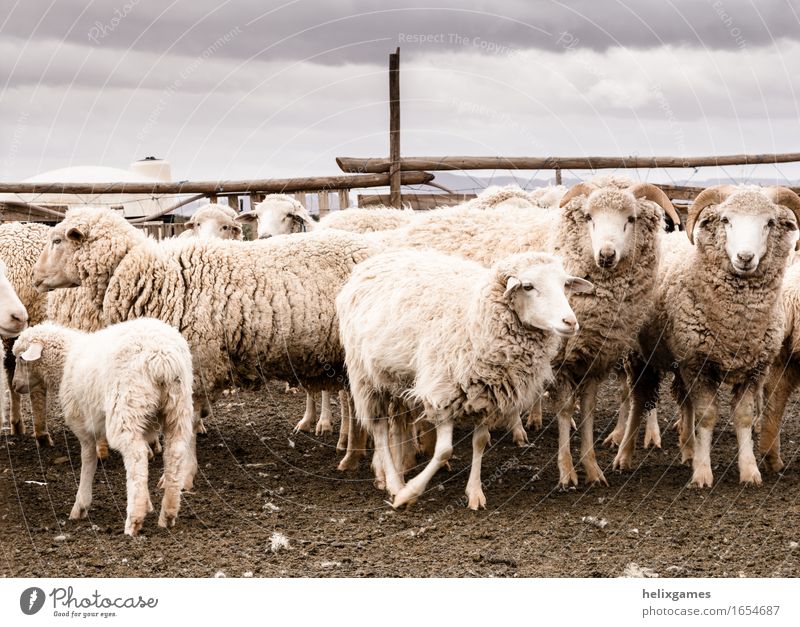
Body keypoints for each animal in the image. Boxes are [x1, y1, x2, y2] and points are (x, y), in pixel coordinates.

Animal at [12, 322, 195, 536]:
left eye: (21, 358)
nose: (15, 385)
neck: (65, 361)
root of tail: (162, 358)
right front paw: (148, 503)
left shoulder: (83, 425)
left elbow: (88, 461)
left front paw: (80, 505)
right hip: (178, 408)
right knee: (174, 454)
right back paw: (168, 513)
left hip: (126, 406)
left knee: (136, 455)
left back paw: (134, 519)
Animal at [338, 248, 592, 508]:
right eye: (528, 287)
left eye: (564, 284)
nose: (570, 322)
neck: (477, 315)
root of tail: (377, 259)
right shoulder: (442, 392)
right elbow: (444, 451)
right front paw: (409, 493)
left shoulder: (489, 395)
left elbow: (479, 442)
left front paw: (475, 492)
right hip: (366, 376)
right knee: (379, 429)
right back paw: (393, 482)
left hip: (397, 379)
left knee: (396, 426)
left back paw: (395, 472)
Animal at [612, 184, 800, 488]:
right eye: (725, 220)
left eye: (770, 222)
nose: (745, 258)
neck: (736, 326)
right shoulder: (698, 365)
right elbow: (707, 416)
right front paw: (702, 473)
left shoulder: (754, 368)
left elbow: (744, 418)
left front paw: (749, 471)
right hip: (640, 355)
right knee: (639, 400)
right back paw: (624, 455)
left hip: (680, 360)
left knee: (683, 400)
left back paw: (688, 449)